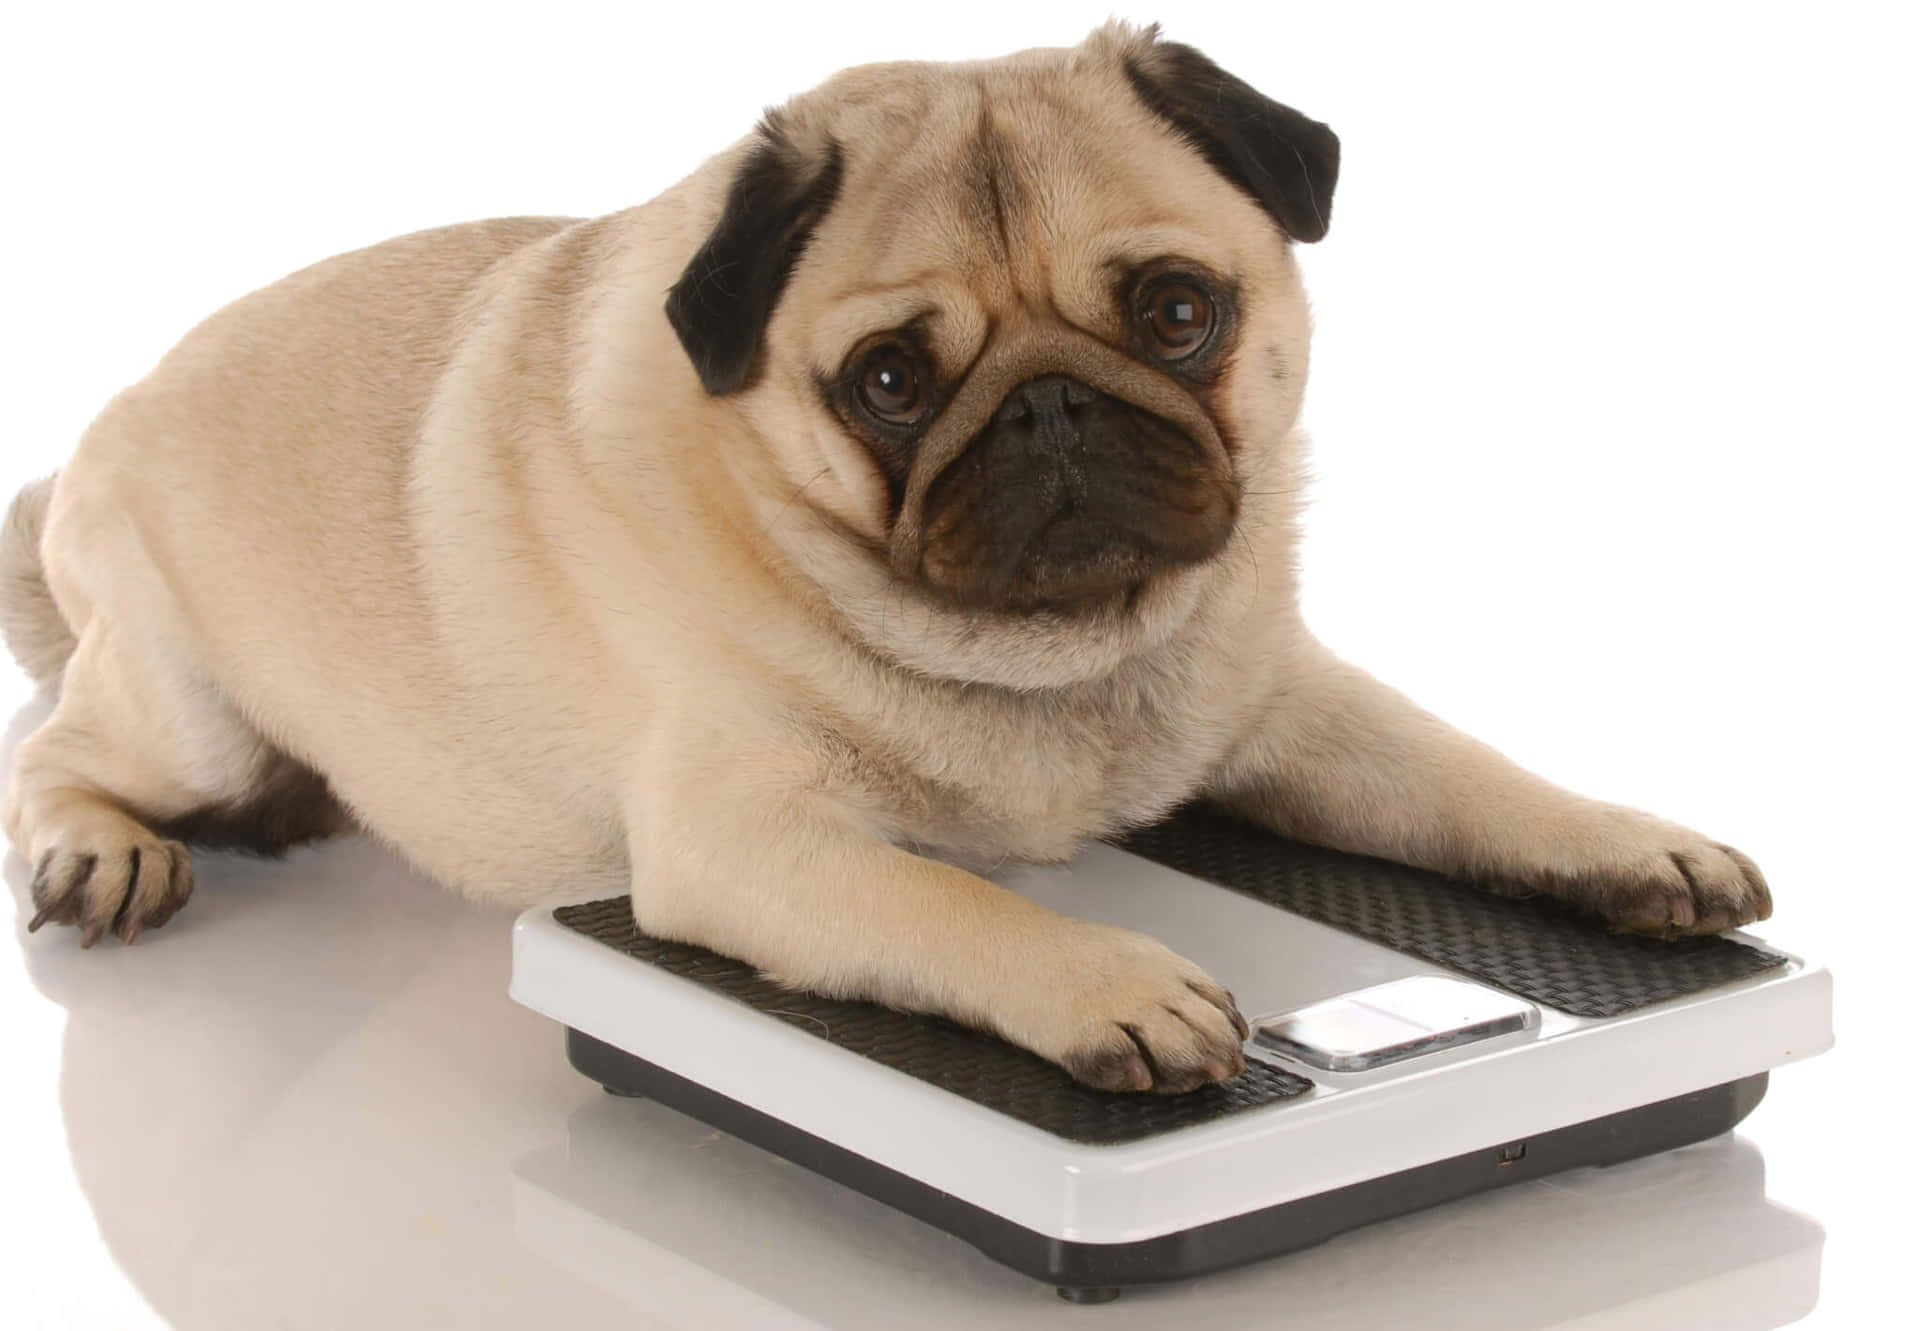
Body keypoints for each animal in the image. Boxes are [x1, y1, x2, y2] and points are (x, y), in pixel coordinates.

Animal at [0, 23, 1766, 1090]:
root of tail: (110, 416)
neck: (1059, 661)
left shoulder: (1288, 709)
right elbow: (955, 904)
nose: (1051, 405)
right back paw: (106, 847)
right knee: (59, 753)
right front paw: (1107, 975)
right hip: (185, 707)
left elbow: (1468, 774)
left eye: (1177, 311)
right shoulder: (745, 844)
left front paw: (1629, 844)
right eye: (892, 382)